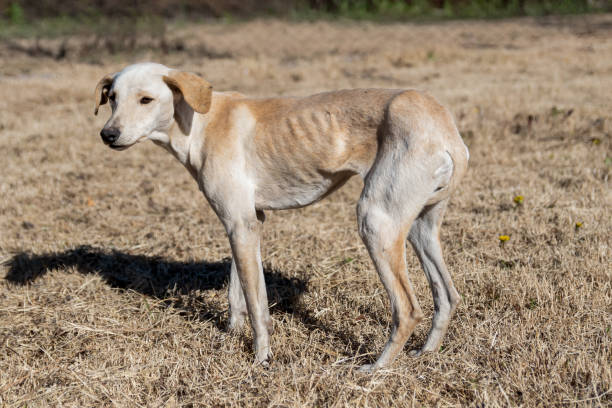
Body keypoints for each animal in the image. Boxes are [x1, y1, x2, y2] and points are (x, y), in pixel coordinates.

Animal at [94, 62, 468, 372]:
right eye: (112, 98)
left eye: (146, 99)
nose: (107, 135)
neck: (201, 122)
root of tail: (445, 127)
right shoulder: (247, 224)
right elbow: (239, 294)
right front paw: (230, 335)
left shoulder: (240, 225)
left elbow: (256, 304)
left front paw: (261, 358)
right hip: (420, 228)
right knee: (447, 296)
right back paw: (427, 352)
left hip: (376, 223)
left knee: (407, 309)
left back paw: (376, 368)